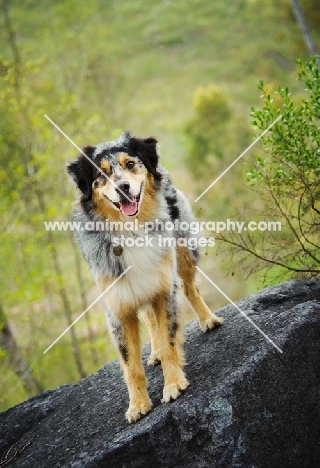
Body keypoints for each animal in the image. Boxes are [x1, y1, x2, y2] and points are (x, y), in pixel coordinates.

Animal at [67, 132, 222, 424]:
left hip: (182, 249)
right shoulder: (118, 307)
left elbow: (170, 339)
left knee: (190, 287)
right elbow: (131, 366)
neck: (131, 231)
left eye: (130, 164)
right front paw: (137, 405)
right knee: (150, 318)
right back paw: (156, 352)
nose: (123, 188)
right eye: (101, 175)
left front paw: (173, 385)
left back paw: (208, 320)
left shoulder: (164, 288)